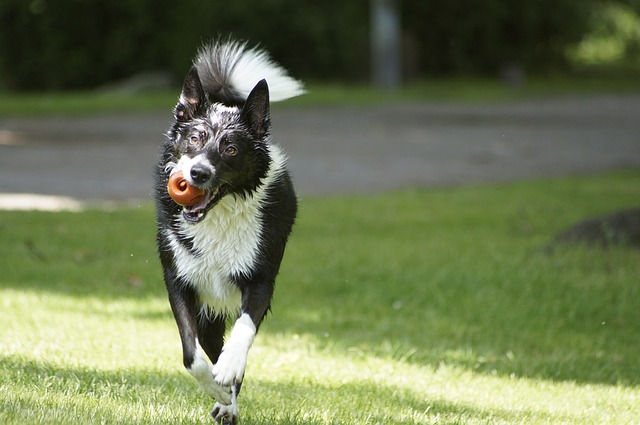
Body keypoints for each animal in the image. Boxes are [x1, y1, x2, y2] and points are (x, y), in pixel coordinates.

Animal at [156, 38, 304, 422]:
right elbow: (191, 356)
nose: (197, 174)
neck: (218, 215)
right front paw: (216, 389)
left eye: (231, 148)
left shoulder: (260, 279)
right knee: (207, 346)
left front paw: (228, 371)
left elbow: (244, 330)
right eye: (195, 138)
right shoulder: (180, 282)